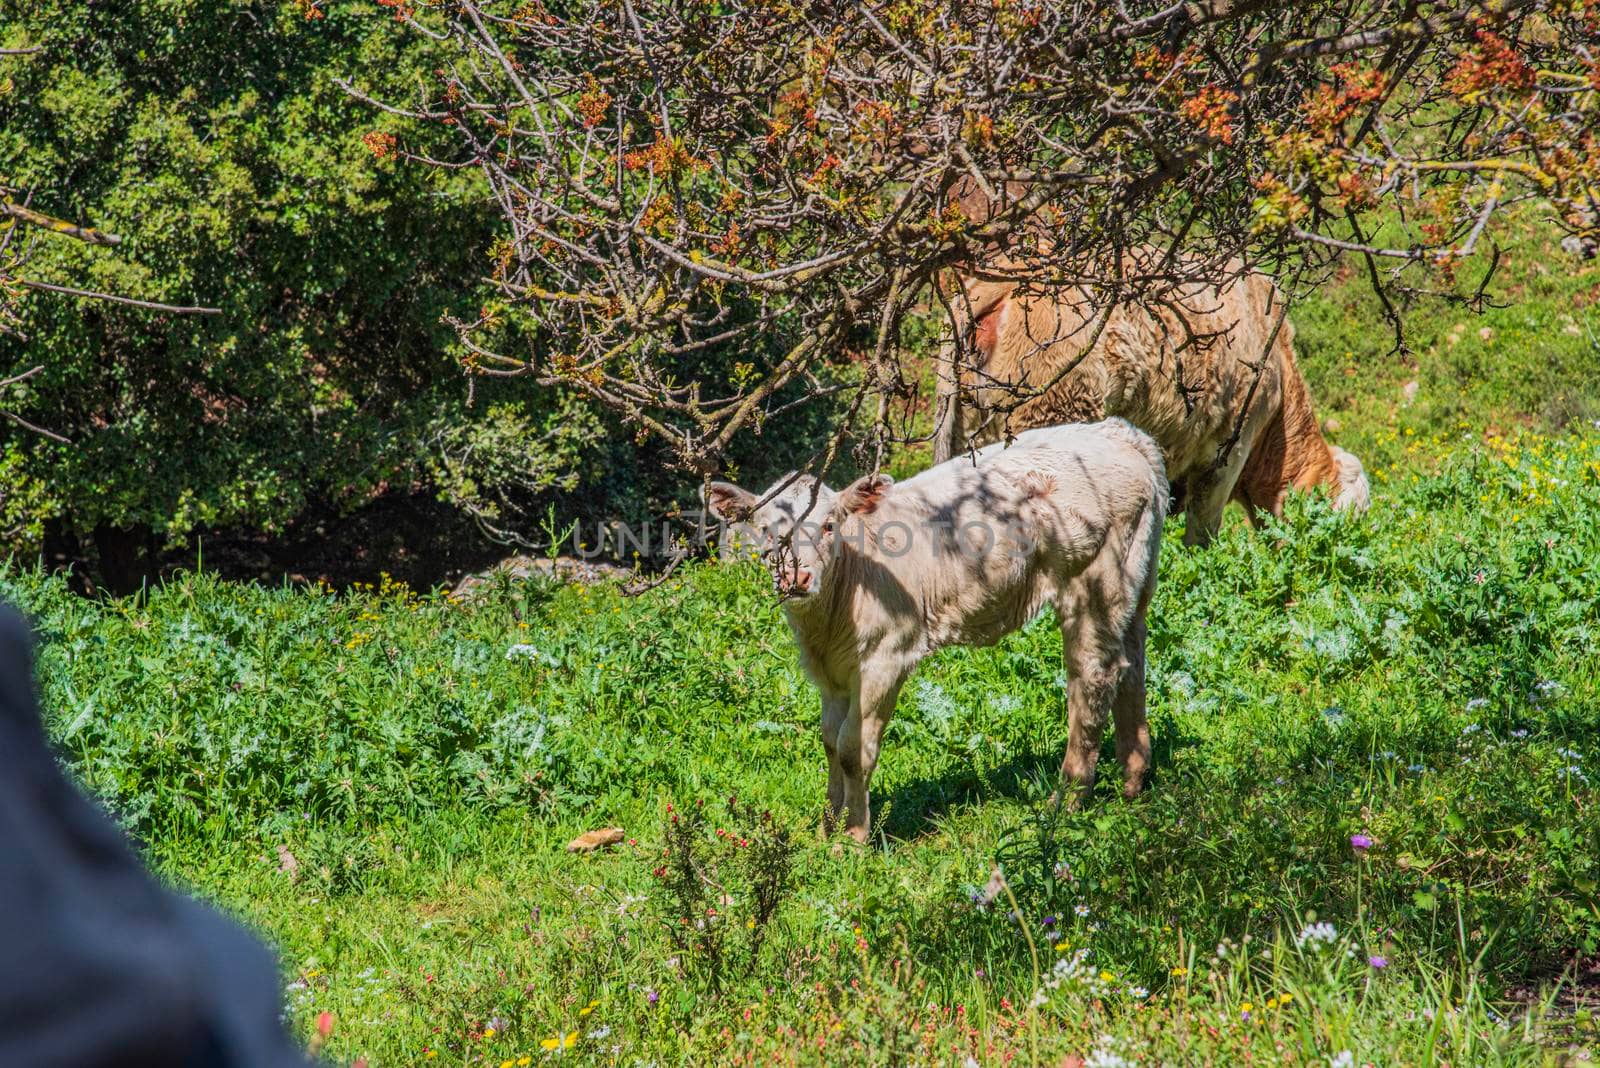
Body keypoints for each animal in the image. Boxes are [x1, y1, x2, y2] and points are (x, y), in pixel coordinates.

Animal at [707, 415, 1171, 844]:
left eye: (828, 525)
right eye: (766, 531)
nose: (795, 578)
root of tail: (1121, 431)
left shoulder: (886, 659)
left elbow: (854, 749)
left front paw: (853, 838)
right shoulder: (830, 676)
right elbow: (830, 743)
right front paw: (827, 828)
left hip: (1094, 581)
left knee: (1093, 677)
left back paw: (1067, 800)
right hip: (1135, 579)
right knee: (1132, 667)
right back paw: (1132, 780)